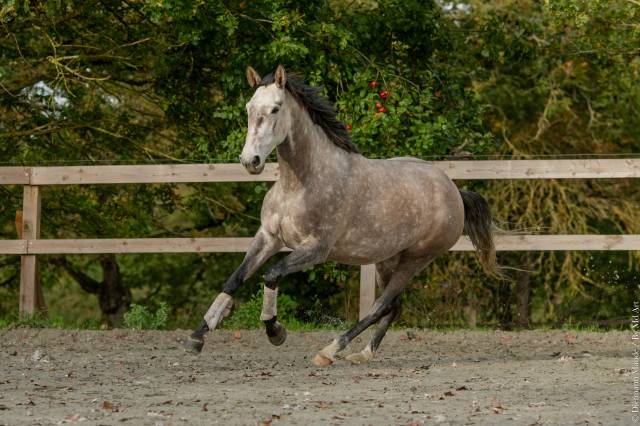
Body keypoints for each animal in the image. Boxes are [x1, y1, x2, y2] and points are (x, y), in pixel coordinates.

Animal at [184, 65, 503, 366]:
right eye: (249, 108)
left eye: (275, 108)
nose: (250, 161)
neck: (300, 182)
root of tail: (454, 191)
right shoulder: (269, 237)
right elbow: (234, 279)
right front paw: (196, 338)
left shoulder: (316, 249)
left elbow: (271, 275)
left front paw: (276, 331)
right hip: (388, 259)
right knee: (393, 307)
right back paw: (362, 354)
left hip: (416, 258)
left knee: (380, 307)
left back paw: (330, 350)